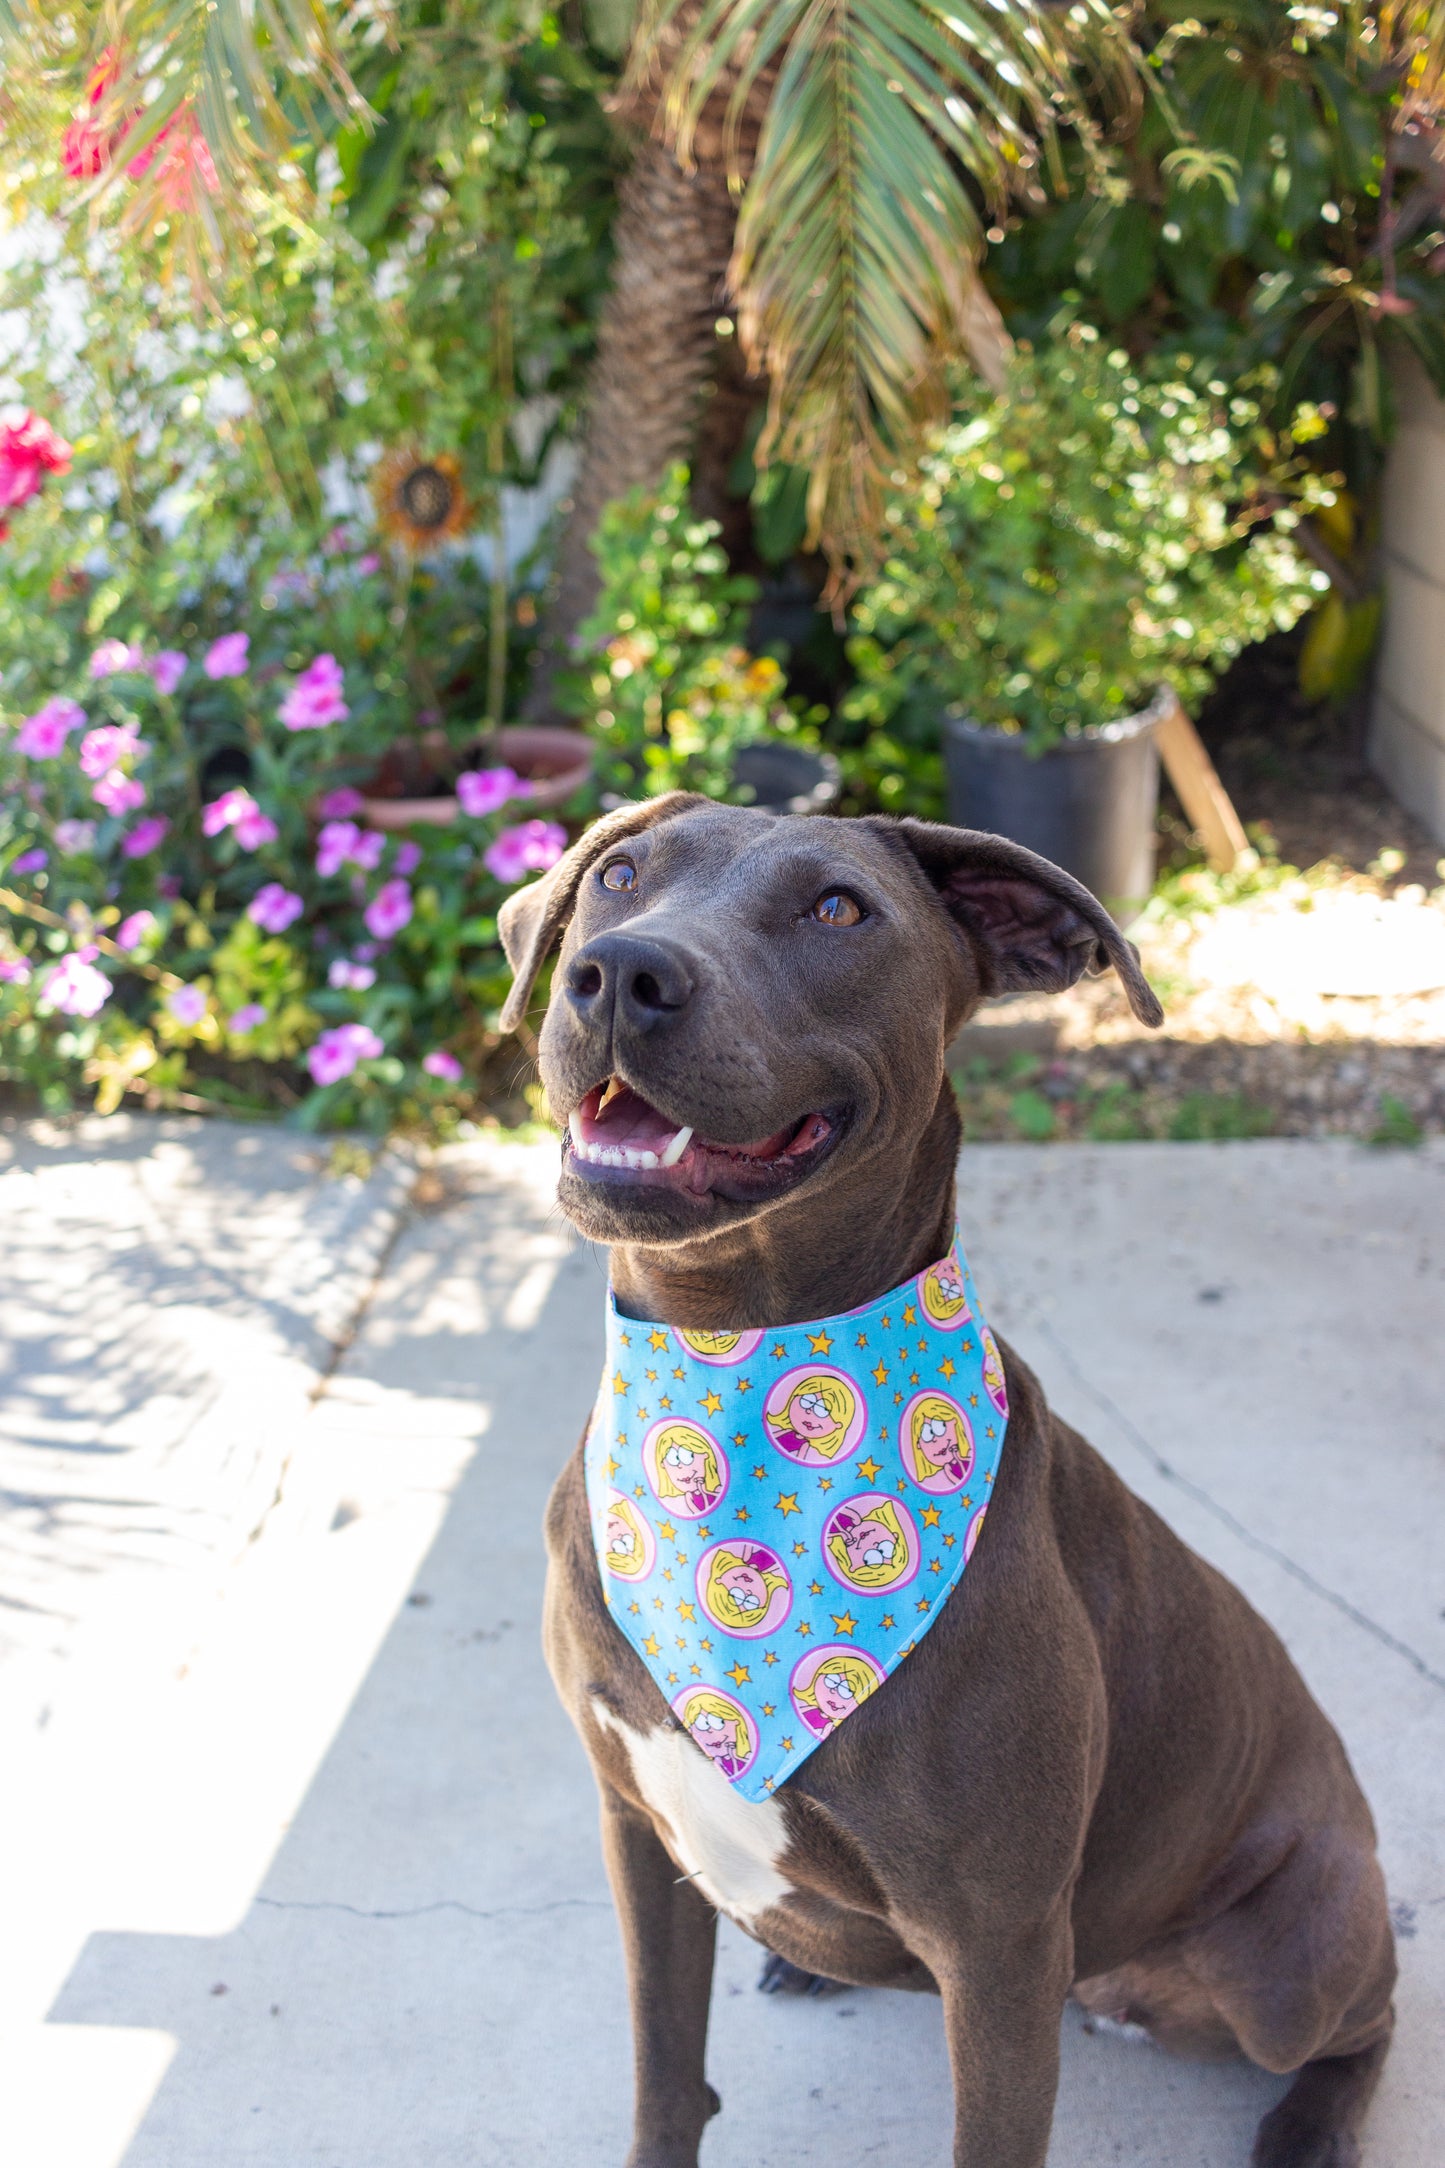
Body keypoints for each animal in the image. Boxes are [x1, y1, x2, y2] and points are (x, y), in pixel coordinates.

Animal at [500, 797, 1403, 2168]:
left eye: (836, 908)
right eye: (617, 875)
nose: (619, 971)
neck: (729, 1374)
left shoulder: (998, 1948)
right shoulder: (635, 1831)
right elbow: (664, 2072)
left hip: (1284, 1962)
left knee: (1367, 2016)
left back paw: (1307, 2125)